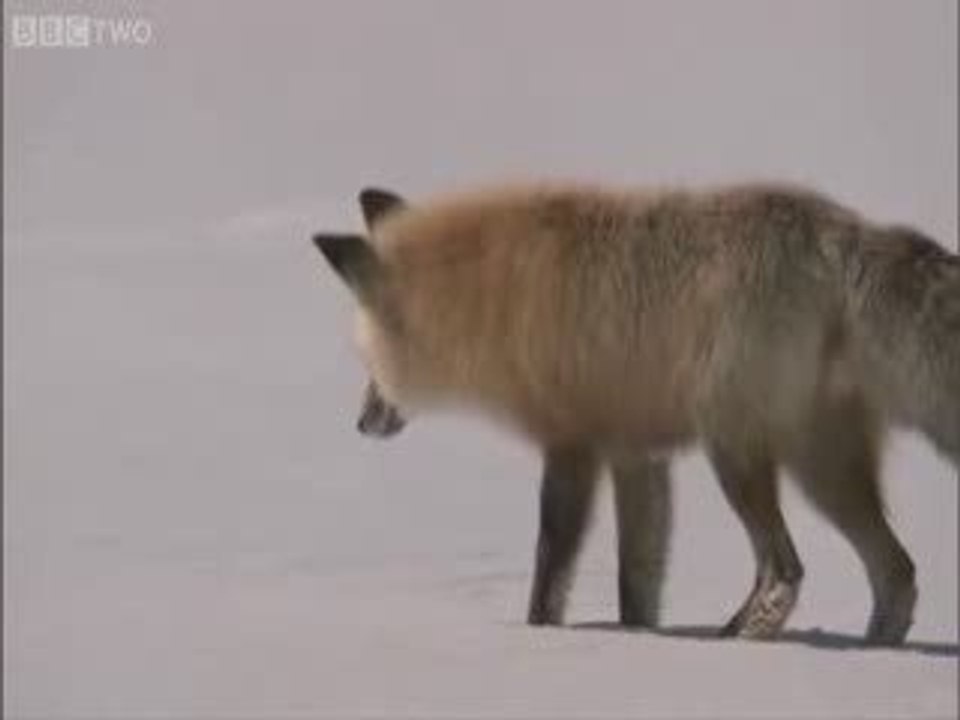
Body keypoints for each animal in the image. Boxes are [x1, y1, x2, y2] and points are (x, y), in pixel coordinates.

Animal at [312, 182, 958, 645]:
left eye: (369, 363)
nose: (361, 423)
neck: (497, 295)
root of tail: (842, 229)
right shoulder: (635, 455)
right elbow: (637, 584)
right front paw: (638, 642)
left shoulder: (572, 444)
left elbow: (551, 569)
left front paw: (541, 639)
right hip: (822, 468)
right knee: (896, 573)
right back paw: (870, 656)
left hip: (739, 454)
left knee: (786, 570)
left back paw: (744, 638)